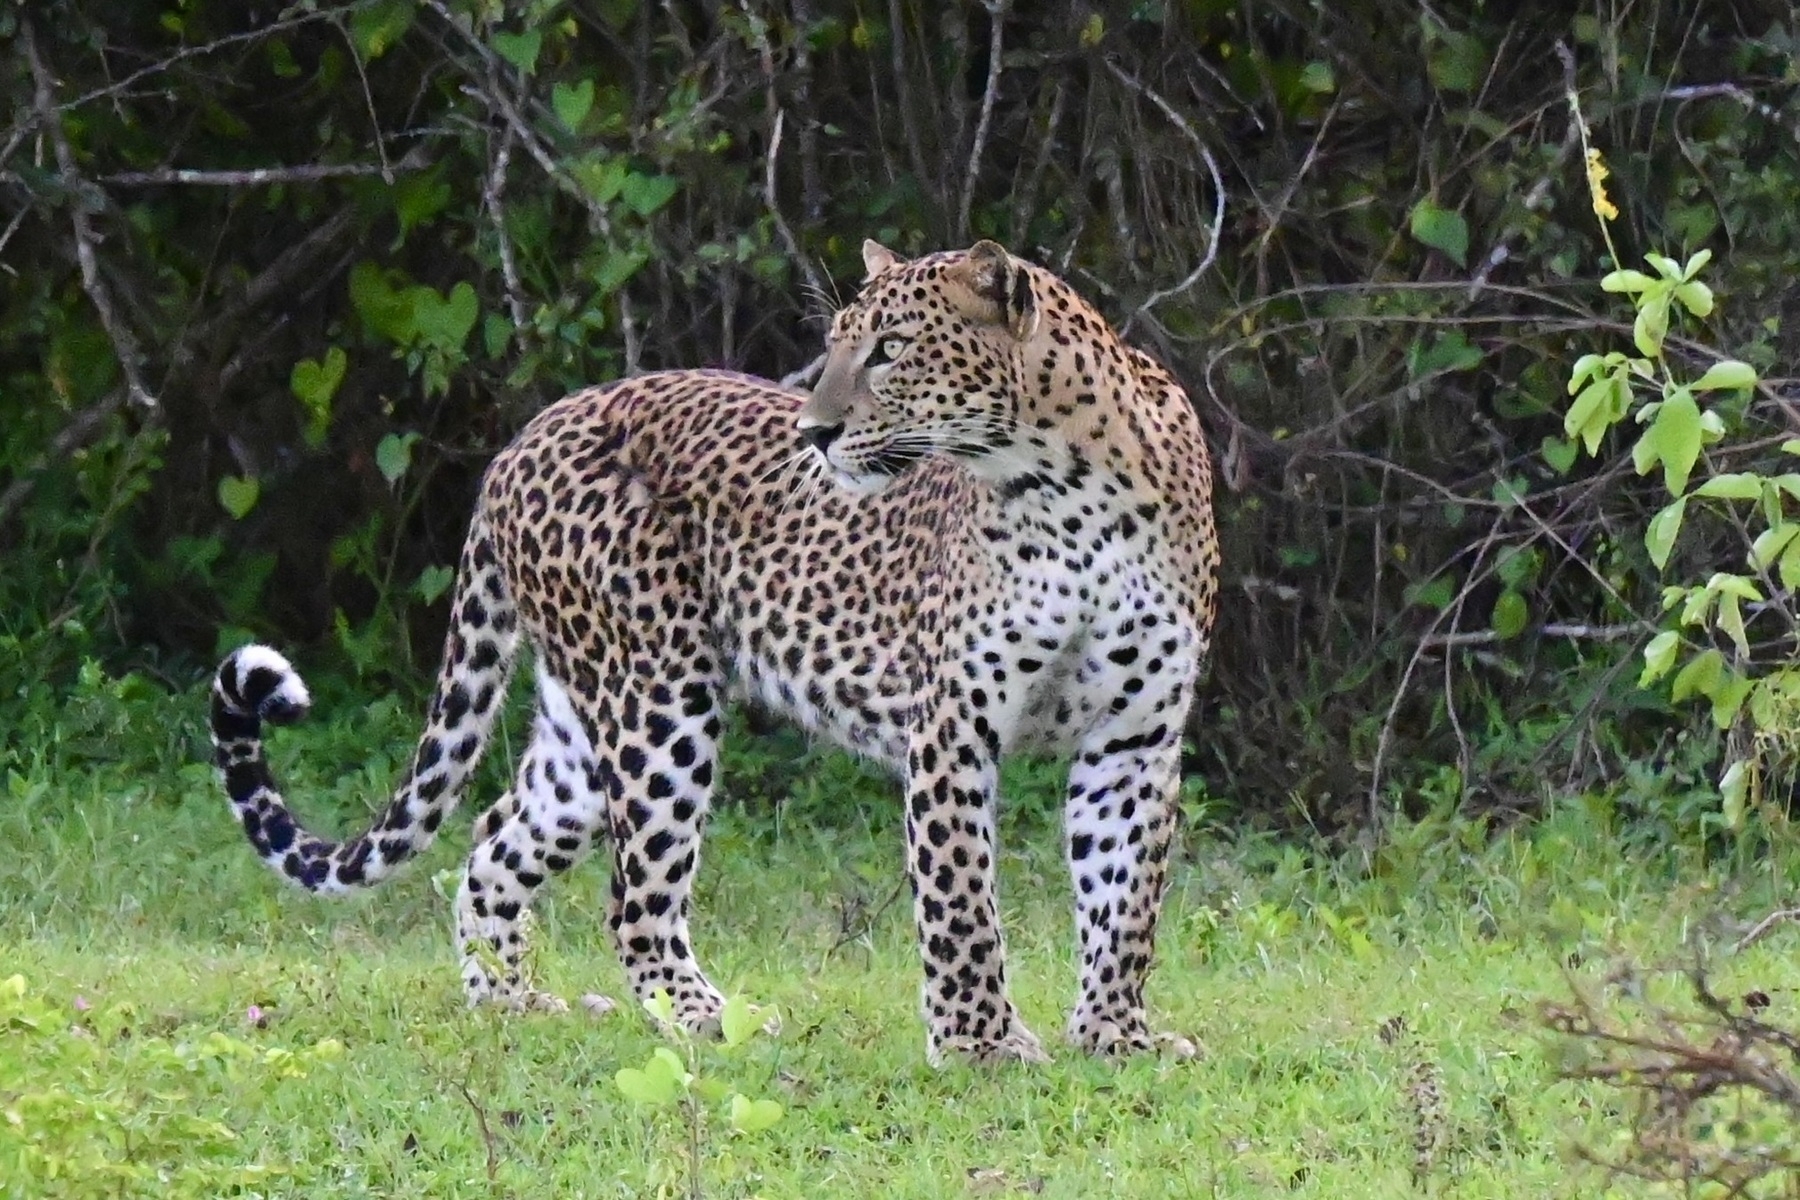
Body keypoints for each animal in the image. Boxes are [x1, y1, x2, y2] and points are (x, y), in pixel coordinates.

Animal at [210, 239, 1224, 1065]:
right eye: (840, 344)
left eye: (891, 349)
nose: (815, 433)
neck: (1067, 486)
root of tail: (522, 440)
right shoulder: (953, 725)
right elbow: (961, 898)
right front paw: (982, 1045)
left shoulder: (1135, 737)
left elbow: (1125, 897)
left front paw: (1116, 1036)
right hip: (660, 701)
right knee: (635, 900)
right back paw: (712, 1019)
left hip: (585, 729)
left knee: (495, 843)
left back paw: (514, 1004)